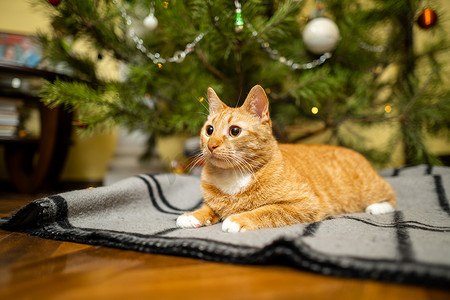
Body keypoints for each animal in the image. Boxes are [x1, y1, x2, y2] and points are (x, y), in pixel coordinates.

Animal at [178, 84, 396, 232]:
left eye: (234, 131)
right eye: (209, 130)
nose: (211, 145)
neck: (233, 176)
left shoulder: (304, 204)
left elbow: (266, 211)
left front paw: (238, 219)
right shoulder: (213, 204)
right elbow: (208, 208)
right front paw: (193, 215)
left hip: (372, 188)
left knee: (392, 196)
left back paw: (377, 207)